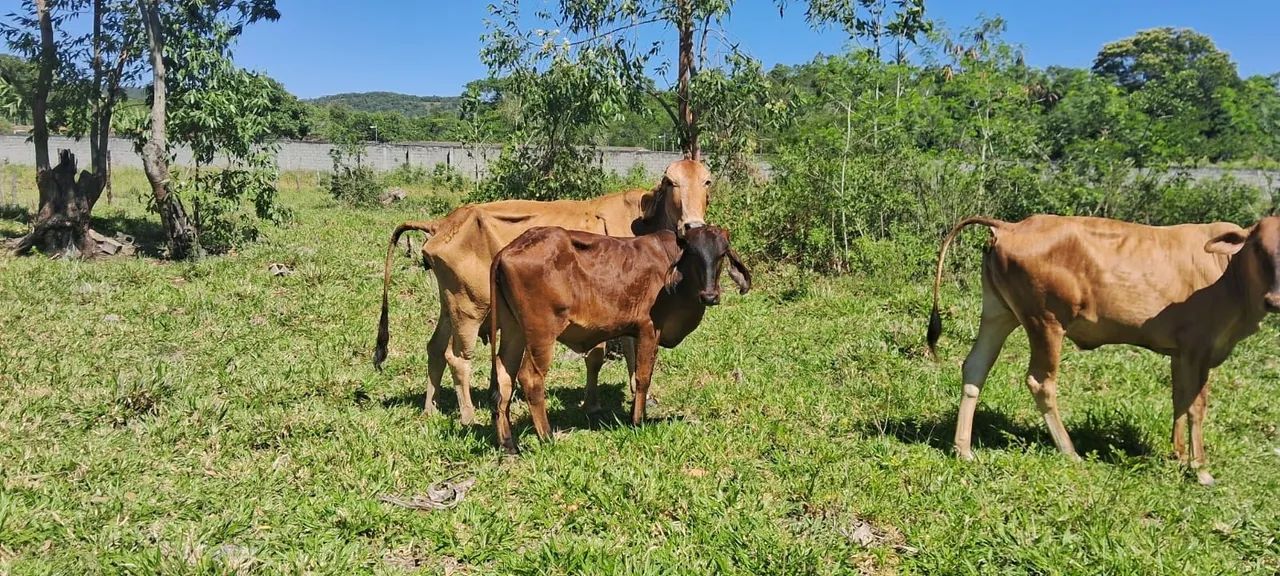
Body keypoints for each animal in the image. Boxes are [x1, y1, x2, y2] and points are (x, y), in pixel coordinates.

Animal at [374, 159, 714, 425]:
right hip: (471, 307)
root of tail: (442, 224)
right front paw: (595, 404)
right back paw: (468, 415)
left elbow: (625, 353)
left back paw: (430, 408)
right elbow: (601, 356)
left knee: (434, 348)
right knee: (457, 358)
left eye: (707, 181)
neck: (642, 223)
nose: (693, 225)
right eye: (671, 182)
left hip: (451, 305)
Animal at [488, 225, 751, 453]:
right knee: (531, 378)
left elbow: (635, 373)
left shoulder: (635, 334)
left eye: (722, 253)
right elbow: (643, 377)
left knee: (504, 379)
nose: (710, 296)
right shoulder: (648, 329)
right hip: (541, 334)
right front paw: (638, 421)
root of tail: (507, 250)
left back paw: (508, 444)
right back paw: (547, 437)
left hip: (513, 330)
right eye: (694, 253)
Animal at [927, 214, 1280, 485]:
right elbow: (1196, 406)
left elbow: (1179, 400)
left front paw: (1178, 455)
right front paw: (1201, 469)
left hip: (999, 312)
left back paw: (963, 448)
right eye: (1257, 248)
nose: (1274, 300)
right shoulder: (1199, 348)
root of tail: (1011, 225)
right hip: (1046, 320)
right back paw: (1069, 451)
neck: (1228, 274)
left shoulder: (1181, 353)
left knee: (975, 367)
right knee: (1041, 382)